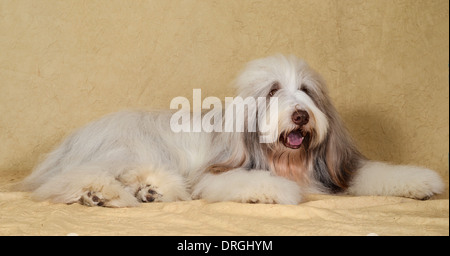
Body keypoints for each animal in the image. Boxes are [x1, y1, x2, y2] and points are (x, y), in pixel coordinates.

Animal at [17, 55, 442, 207]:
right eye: (273, 91)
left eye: (306, 91)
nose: (301, 116)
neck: (286, 160)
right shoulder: (217, 175)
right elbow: (253, 182)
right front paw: (281, 192)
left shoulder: (335, 169)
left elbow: (376, 173)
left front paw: (420, 182)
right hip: (127, 149)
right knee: (75, 178)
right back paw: (97, 193)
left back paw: (150, 191)